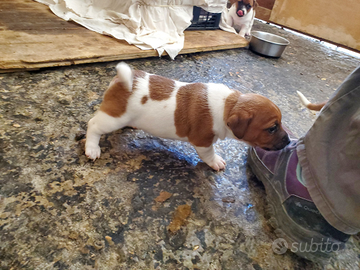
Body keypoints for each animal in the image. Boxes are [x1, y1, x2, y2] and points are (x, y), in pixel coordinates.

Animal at [84, 62, 290, 170]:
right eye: (272, 128)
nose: (288, 141)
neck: (228, 104)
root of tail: (122, 81)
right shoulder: (203, 141)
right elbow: (209, 154)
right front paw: (216, 162)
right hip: (113, 118)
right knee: (93, 125)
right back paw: (92, 148)